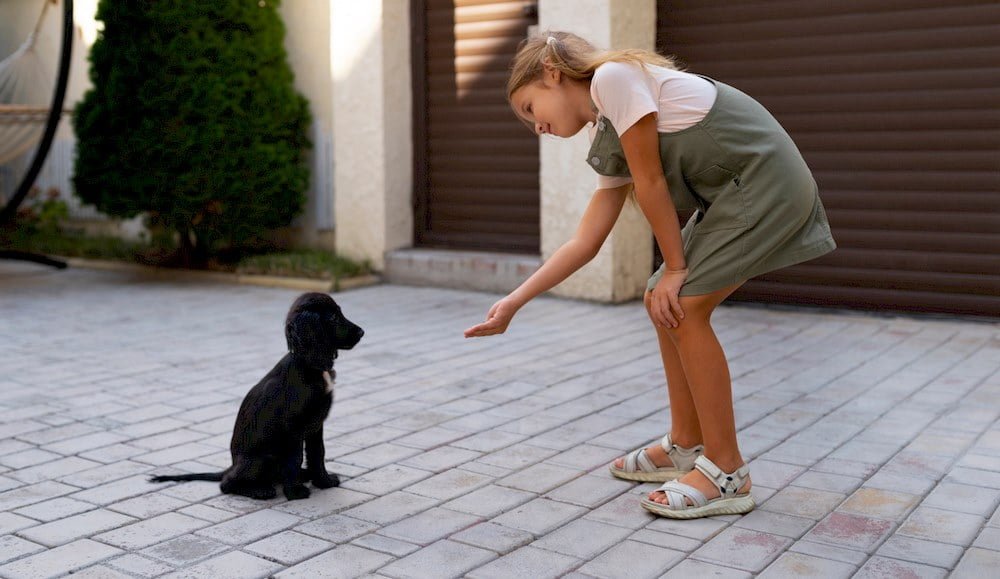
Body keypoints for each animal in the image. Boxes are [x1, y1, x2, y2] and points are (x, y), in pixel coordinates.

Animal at [148, 292, 364, 500]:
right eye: (334, 317)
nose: (362, 332)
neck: (308, 365)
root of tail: (231, 464)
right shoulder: (293, 427)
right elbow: (295, 458)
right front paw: (295, 493)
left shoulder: (316, 424)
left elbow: (318, 453)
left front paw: (324, 482)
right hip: (264, 457)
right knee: (226, 484)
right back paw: (260, 491)